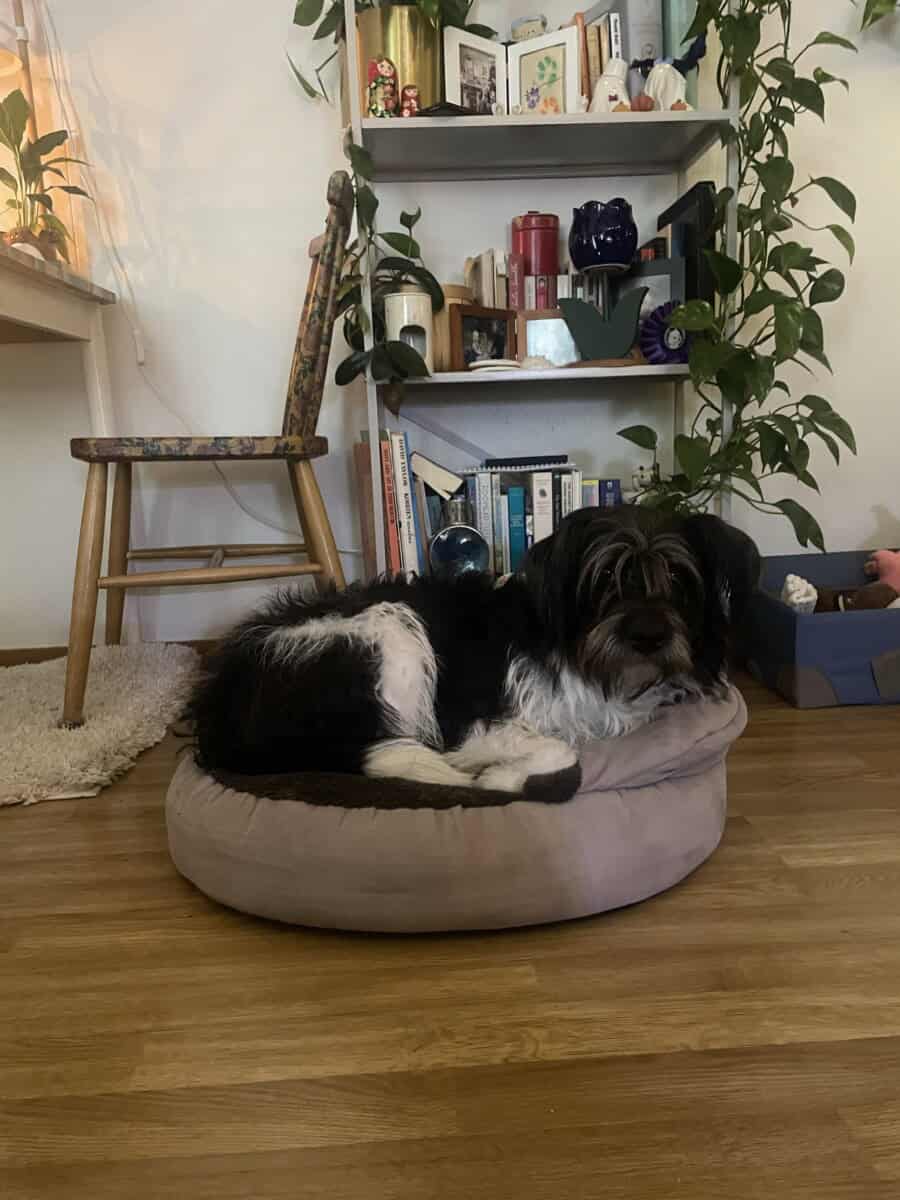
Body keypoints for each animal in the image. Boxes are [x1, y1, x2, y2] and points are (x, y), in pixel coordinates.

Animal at [189, 506, 759, 793]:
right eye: (605, 578)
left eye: (679, 579)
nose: (648, 636)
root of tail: (219, 710)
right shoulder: (471, 723)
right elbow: (560, 748)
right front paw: (502, 776)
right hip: (390, 633)